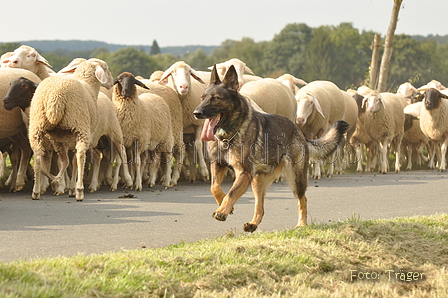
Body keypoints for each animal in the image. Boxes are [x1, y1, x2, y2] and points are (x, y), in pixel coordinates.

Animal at [28, 58, 131, 200]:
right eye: (106, 68)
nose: (112, 82)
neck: (89, 87)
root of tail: (55, 97)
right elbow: (73, 161)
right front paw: (69, 186)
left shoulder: (64, 140)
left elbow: (67, 162)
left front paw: (61, 183)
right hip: (88, 127)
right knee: (96, 154)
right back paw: (81, 190)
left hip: (37, 127)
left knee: (39, 156)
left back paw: (37, 190)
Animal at [194, 65, 348, 233]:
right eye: (202, 98)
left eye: (216, 98)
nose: (196, 113)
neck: (230, 134)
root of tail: (297, 130)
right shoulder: (218, 165)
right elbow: (214, 187)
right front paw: (224, 205)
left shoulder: (243, 173)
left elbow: (231, 192)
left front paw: (222, 210)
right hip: (257, 181)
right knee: (260, 207)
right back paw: (253, 224)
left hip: (296, 180)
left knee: (303, 199)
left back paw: (301, 224)